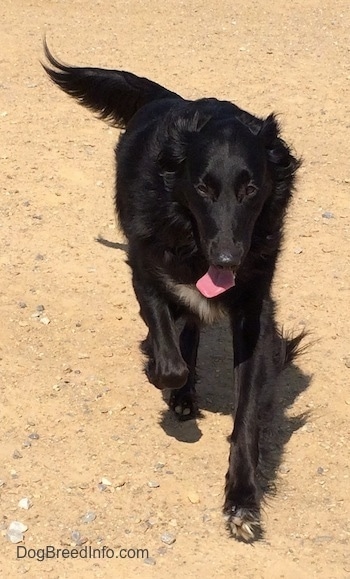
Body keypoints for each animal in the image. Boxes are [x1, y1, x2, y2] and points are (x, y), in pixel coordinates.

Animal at [43, 43, 304, 540]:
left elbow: (246, 413)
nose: (227, 260)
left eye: (251, 189)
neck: (193, 240)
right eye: (203, 187)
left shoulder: (255, 311)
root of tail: (169, 98)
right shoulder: (144, 269)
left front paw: (242, 502)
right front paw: (165, 375)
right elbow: (169, 357)